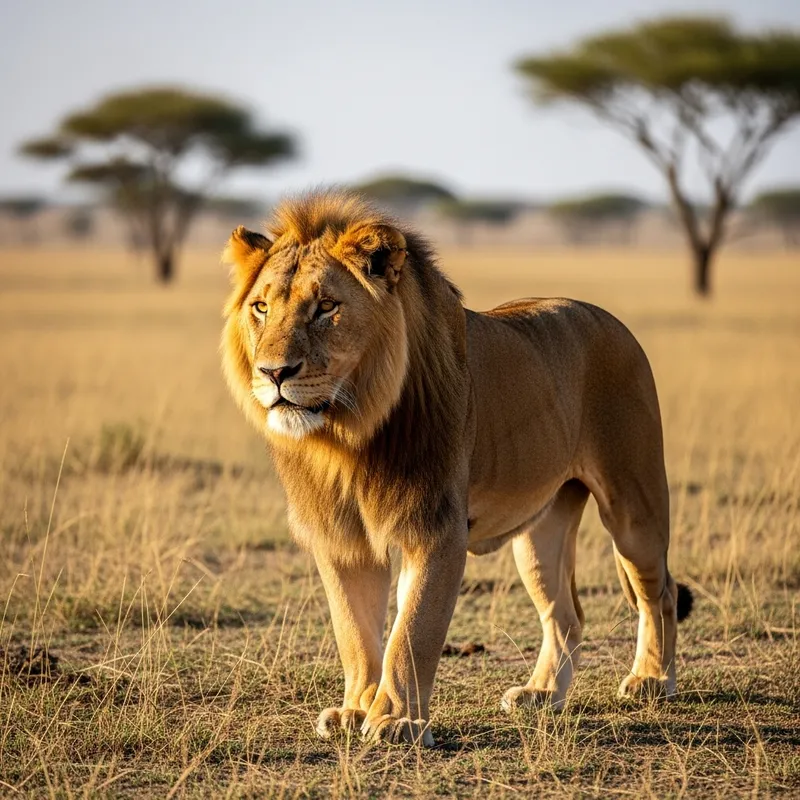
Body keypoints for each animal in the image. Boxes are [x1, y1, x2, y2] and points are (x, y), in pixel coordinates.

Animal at [221, 190, 693, 747]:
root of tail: (610, 319)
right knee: (567, 614)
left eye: (326, 307)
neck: (346, 436)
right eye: (261, 307)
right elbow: (354, 631)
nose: (273, 373)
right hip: (541, 531)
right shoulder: (340, 538)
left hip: (632, 503)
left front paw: (397, 721)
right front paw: (355, 710)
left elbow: (412, 631)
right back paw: (542, 694)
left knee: (659, 590)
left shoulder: (435, 525)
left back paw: (651, 679)